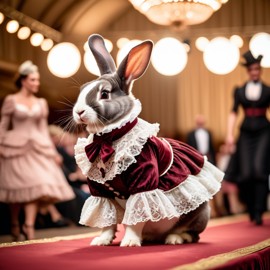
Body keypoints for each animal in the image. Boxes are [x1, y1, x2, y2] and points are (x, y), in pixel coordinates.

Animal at [72, 33, 224, 247]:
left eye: (104, 93)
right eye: (83, 89)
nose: (79, 111)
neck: (109, 139)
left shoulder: (143, 181)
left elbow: (137, 215)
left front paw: (129, 243)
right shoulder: (100, 192)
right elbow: (107, 220)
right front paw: (101, 241)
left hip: (199, 212)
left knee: (192, 232)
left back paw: (175, 238)